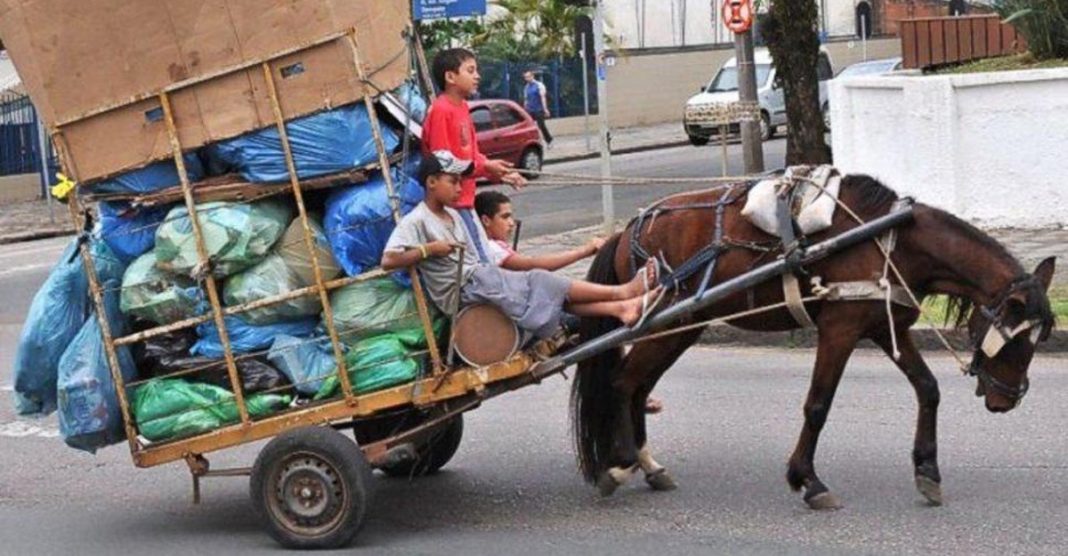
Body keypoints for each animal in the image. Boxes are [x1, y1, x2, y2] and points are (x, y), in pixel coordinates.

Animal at [572, 172, 1055, 507]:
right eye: (1017, 341)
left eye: (1039, 339)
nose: (1006, 400)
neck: (891, 239)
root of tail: (627, 230)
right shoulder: (840, 329)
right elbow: (818, 405)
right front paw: (808, 480)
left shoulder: (886, 327)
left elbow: (928, 389)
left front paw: (928, 472)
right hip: (665, 323)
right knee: (622, 383)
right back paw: (619, 464)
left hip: (682, 327)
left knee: (638, 387)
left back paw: (648, 465)